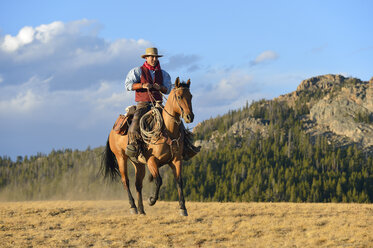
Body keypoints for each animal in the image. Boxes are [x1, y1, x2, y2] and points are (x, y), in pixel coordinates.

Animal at [101, 77, 195, 215]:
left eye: (191, 96)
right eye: (179, 96)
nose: (189, 117)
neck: (168, 130)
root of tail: (112, 131)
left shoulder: (176, 160)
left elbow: (179, 181)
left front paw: (183, 208)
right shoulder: (151, 161)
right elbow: (159, 180)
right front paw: (151, 200)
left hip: (138, 163)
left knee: (138, 184)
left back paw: (141, 209)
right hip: (120, 157)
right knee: (125, 181)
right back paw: (133, 207)